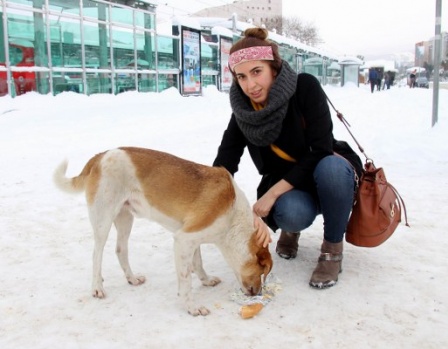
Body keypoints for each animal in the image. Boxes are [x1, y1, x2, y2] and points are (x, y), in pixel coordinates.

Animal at [54, 147, 272, 316]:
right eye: (262, 271)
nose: (258, 293)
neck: (233, 219)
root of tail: (100, 156)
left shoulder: (192, 239)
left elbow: (198, 264)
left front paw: (206, 280)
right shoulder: (184, 239)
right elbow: (186, 281)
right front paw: (192, 308)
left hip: (125, 218)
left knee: (120, 250)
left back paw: (132, 278)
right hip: (103, 220)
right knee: (96, 255)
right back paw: (97, 288)